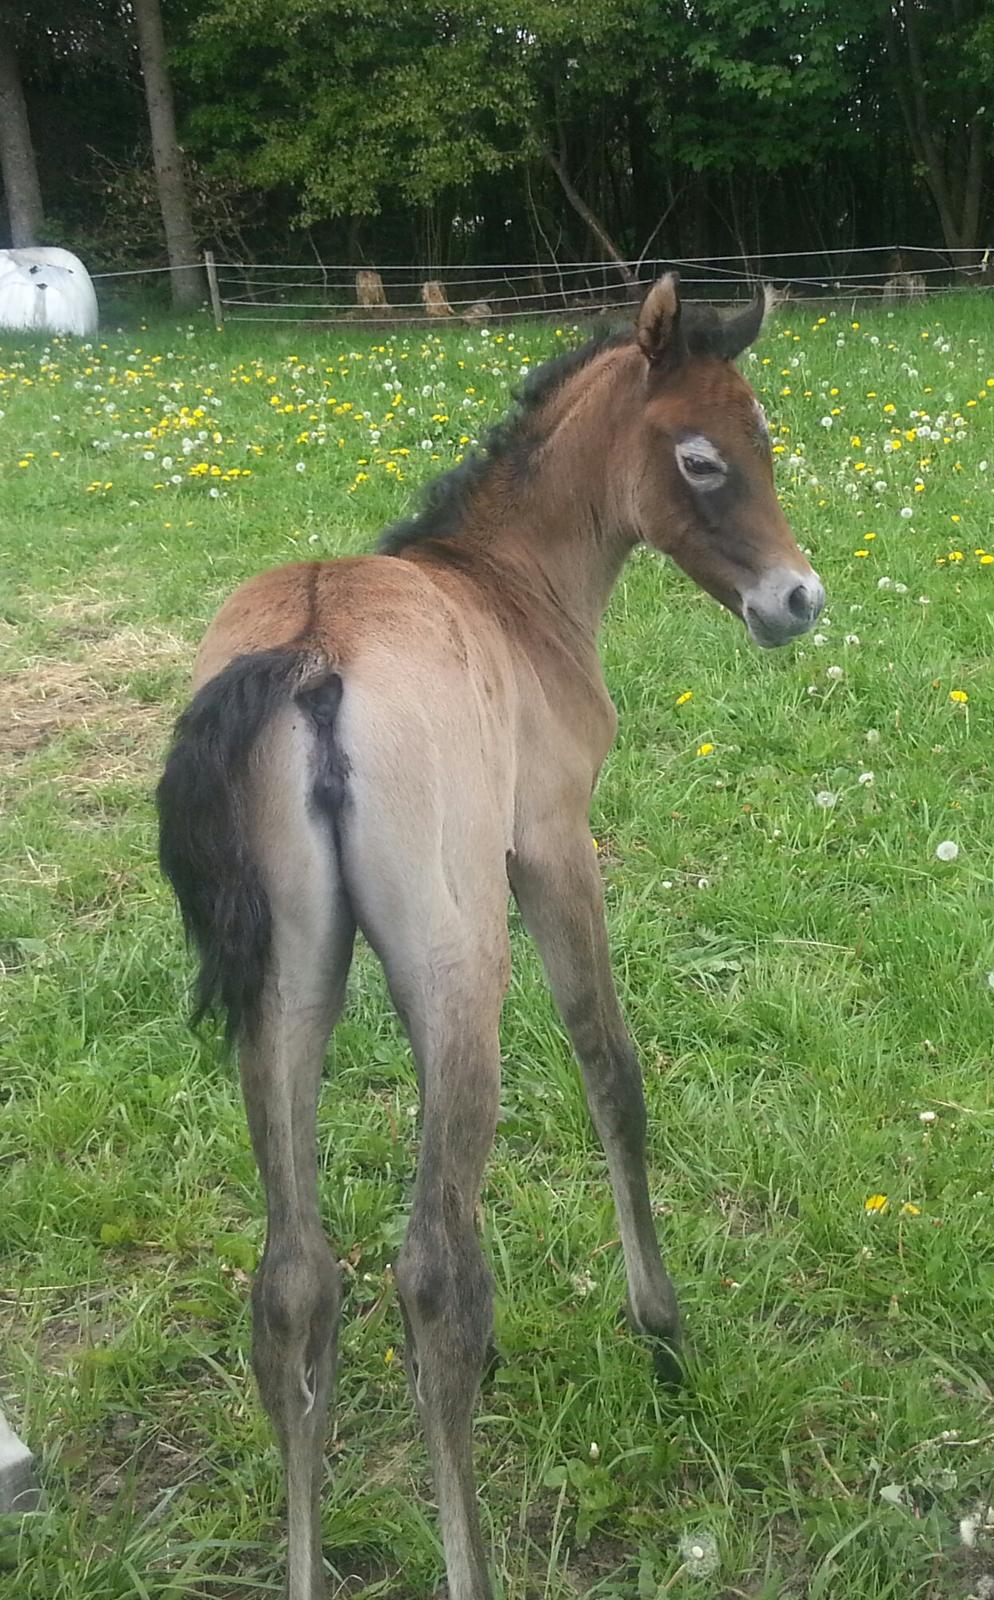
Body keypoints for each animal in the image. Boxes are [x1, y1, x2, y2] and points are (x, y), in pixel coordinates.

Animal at [155, 278, 819, 1600]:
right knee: (431, 1274)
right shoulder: (552, 846)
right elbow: (611, 1067)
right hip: (457, 966)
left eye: (764, 440)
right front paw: (661, 1327)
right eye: (702, 458)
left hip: (286, 988)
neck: (506, 584)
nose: (796, 601)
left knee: (293, 1278)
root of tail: (311, 655)